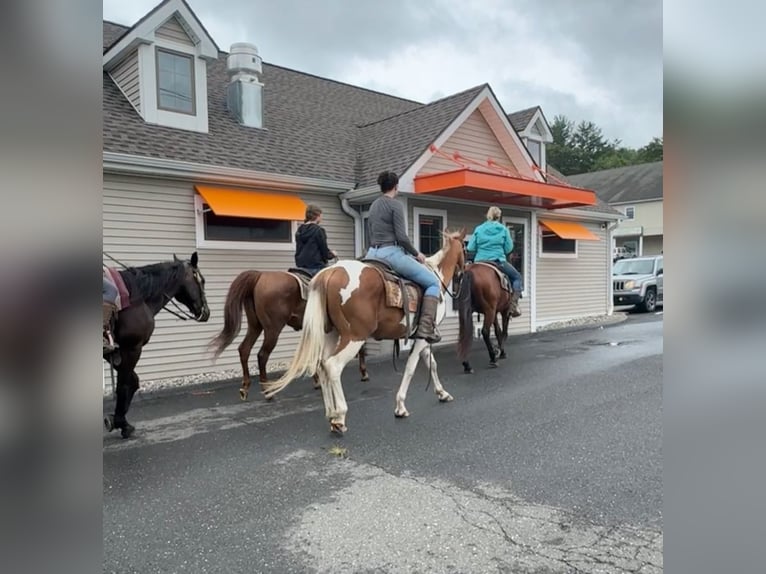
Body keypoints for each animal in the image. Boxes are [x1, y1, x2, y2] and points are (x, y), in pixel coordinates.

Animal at [103, 254, 210, 438]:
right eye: (201, 280)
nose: (206, 311)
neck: (136, 296)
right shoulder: (132, 348)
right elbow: (124, 385)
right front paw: (121, 423)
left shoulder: (115, 352)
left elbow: (133, 381)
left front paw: (119, 421)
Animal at [207, 266, 368, 400]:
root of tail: (260, 276)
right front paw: (364, 373)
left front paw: (317, 380)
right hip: (272, 329)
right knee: (262, 355)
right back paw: (268, 392)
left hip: (255, 326)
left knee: (244, 349)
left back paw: (245, 388)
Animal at [264, 230, 468, 432]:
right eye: (466, 248)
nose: (464, 270)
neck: (436, 276)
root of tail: (330, 273)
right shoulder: (422, 338)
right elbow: (411, 367)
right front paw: (400, 406)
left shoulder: (422, 337)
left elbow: (431, 364)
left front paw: (442, 393)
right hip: (354, 337)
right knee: (333, 366)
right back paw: (340, 417)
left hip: (331, 334)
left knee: (322, 366)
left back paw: (331, 413)